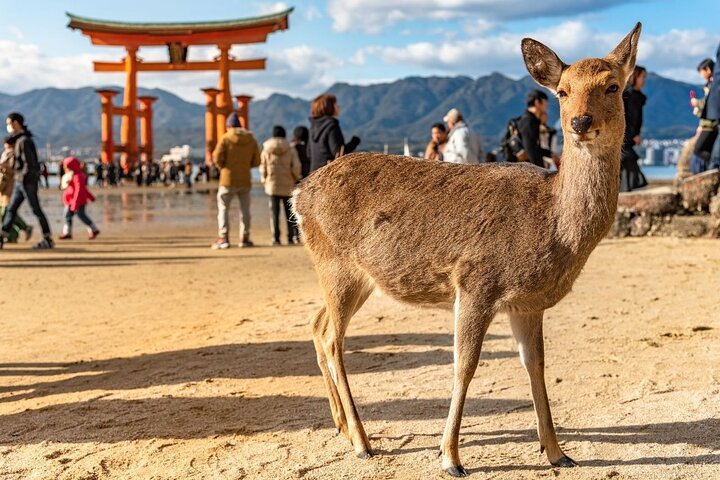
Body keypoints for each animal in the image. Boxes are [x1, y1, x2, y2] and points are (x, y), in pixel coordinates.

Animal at [292, 23, 640, 476]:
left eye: (613, 86)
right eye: (562, 91)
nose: (581, 121)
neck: (553, 224)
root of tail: (297, 195)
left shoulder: (528, 303)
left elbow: (537, 366)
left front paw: (557, 452)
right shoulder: (476, 281)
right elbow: (465, 365)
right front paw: (450, 458)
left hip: (356, 276)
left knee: (317, 325)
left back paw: (342, 427)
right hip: (337, 265)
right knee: (334, 339)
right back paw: (363, 442)